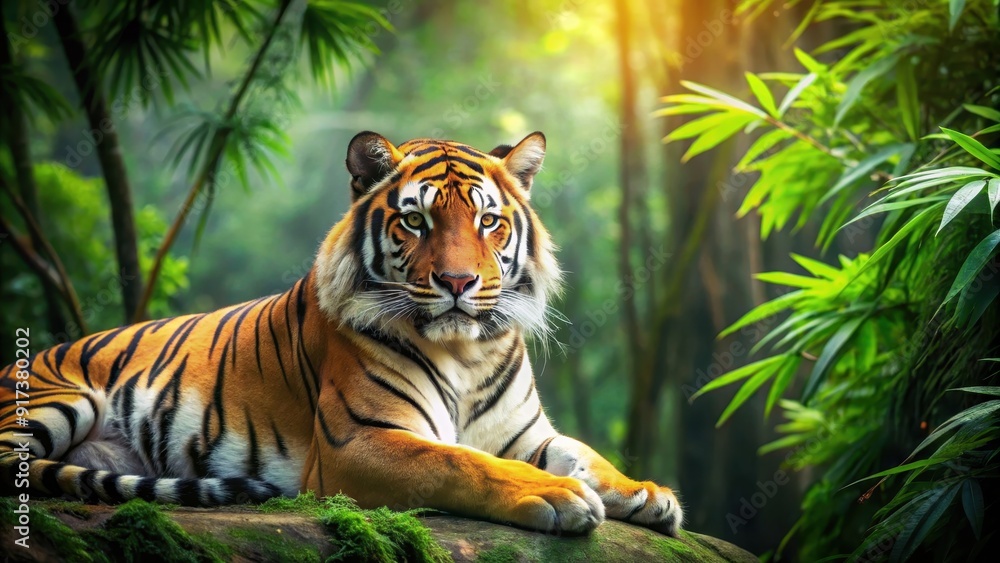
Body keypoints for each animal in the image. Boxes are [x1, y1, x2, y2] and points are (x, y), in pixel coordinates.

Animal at [0, 131, 684, 536]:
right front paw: (559, 496)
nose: (459, 281)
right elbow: (459, 462)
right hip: (53, 402)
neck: (466, 351)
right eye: (416, 220)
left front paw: (646, 493)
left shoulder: (526, 433)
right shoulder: (357, 443)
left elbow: (584, 453)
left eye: (489, 222)